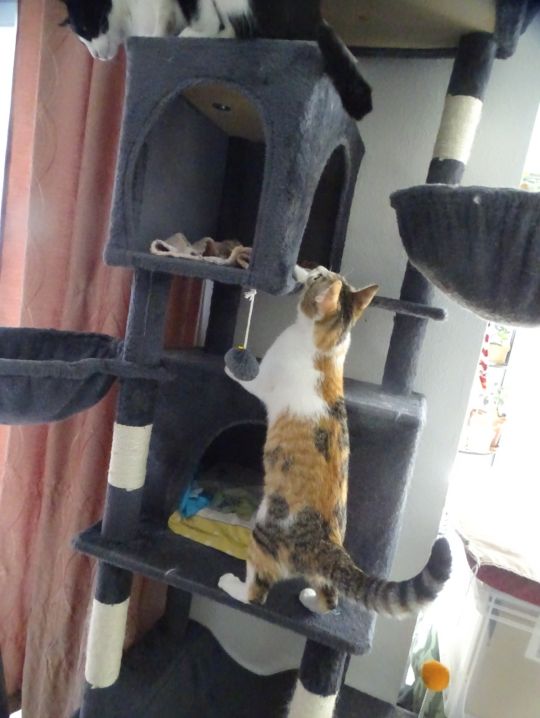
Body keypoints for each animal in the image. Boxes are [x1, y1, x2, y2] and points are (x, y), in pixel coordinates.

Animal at [60, 0, 372, 120]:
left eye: (88, 29)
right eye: (82, 39)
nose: (95, 56)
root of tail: (312, 17)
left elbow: (201, 19)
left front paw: (173, 37)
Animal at [219, 266, 451, 615]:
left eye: (318, 277)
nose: (313, 268)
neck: (328, 348)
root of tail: (329, 545)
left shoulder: (265, 381)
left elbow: (249, 378)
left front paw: (230, 363)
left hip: (263, 531)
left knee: (257, 593)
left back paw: (231, 584)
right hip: (320, 577)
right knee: (330, 598)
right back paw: (309, 599)